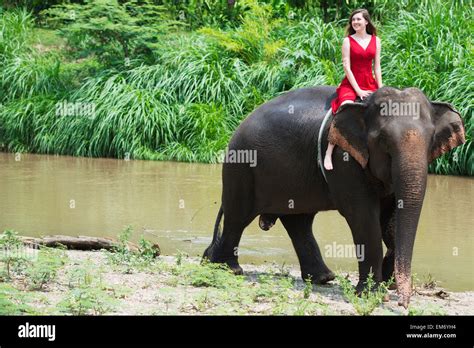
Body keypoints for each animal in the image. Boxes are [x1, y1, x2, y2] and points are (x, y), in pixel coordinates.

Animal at [202, 85, 464, 308]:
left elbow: (391, 219)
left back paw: (322, 278)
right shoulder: (342, 158)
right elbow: (363, 217)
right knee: (239, 216)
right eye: (382, 141)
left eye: (431, 139)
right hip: (241, 166)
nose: (403, 304)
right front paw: (372, 293)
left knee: (298, 221)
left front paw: (387, 283)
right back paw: (226, 267)